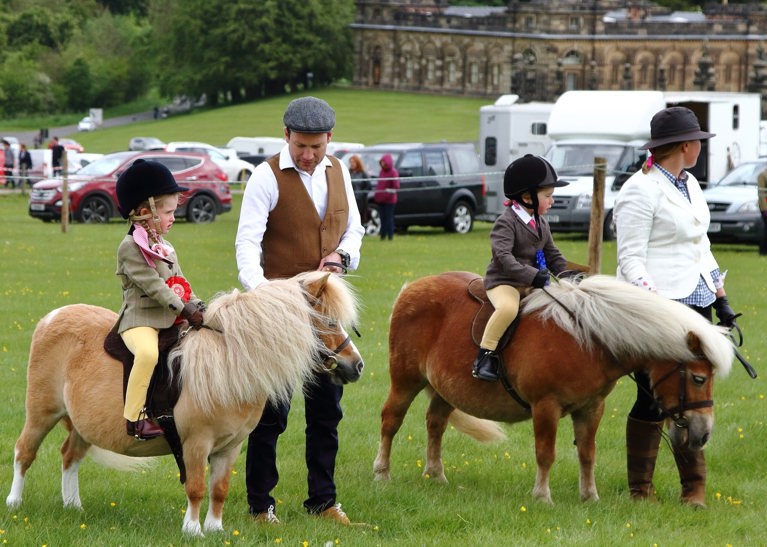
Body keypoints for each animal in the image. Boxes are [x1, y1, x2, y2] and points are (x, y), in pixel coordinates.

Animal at [6, 272, 364, 536]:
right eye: (329, 322)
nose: (357, 365)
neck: (229, 360)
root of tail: (52, 317)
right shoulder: (195, 443)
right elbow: (196, 487)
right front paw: (193, 530)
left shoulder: (231, 446)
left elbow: (219, 488)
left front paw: (216, 529)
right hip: (42, 413)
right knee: (25, 452)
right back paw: (14, 503)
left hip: (82, 425)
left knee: (70, 456)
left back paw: (73, 506)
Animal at [376, 272, 736, 506]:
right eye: (699, 378)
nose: (703, 434)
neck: (588, 338)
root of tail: (411, 288)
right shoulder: (545, 406)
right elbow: (545, 453)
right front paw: (542, 497)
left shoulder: (591, 408)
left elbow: (587, 453)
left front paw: (590, 496)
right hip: (406, 380)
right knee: (391, 420)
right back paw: (382, 473)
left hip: (444, 389)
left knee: (435, 424)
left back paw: (435, 475)